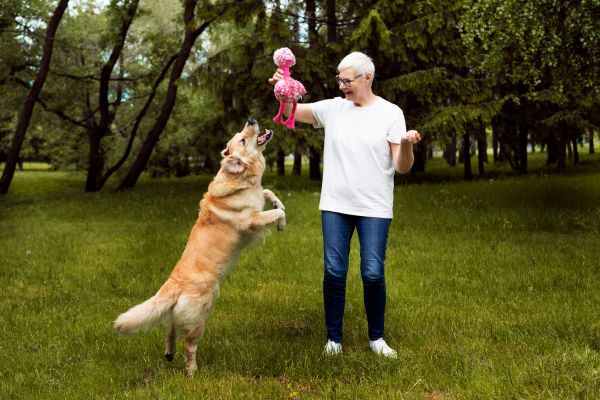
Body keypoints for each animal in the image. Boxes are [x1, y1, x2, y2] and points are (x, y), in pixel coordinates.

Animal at [116, 119, 288, 376]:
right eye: (243, 139)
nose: (252, 120)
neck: (241, 178)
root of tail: (173, 285)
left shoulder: (259, 196)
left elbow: (268, 192)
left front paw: (279, 205)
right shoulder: (250, 220)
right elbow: (275, 212)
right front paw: (281, 220)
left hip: (187, 312)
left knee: (170, 328)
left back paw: (169, 354)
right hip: (202, 313)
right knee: (188, 344)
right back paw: (192, 372)